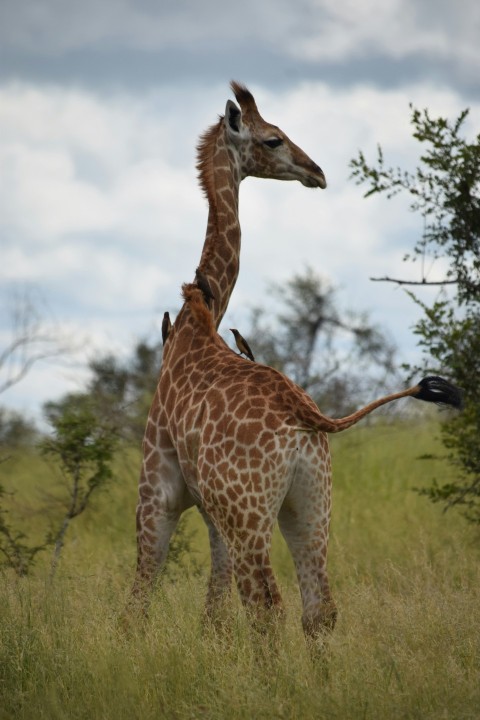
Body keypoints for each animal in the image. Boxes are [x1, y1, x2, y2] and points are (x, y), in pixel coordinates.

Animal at [145, 284, 462, 640]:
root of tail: (301, 410)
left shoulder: (158, 478)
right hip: (312, 504)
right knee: (319, 608)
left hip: (248, 517)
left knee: (265, 606)